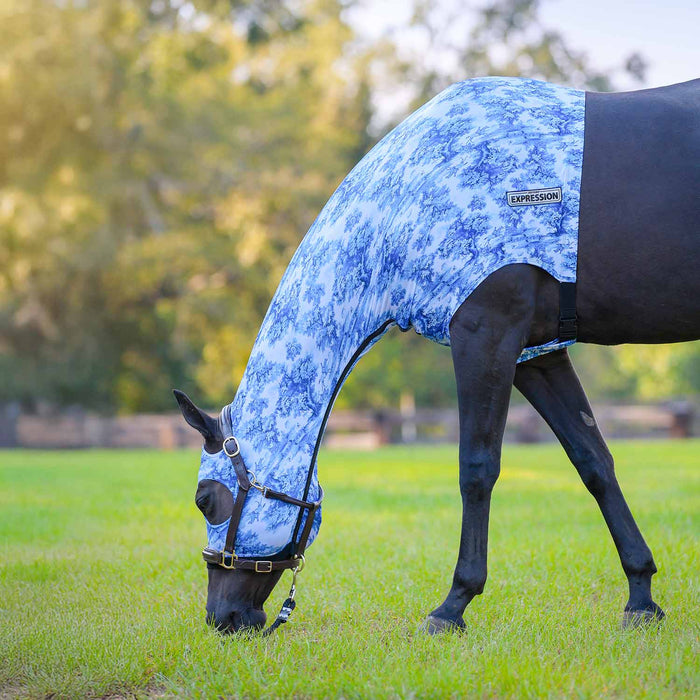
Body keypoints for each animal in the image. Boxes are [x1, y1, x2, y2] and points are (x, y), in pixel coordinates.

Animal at [175, 76, 699, 635]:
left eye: (205, 500)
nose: (223, 618)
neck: (405, 198)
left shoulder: (485, 336)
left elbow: (477, 468)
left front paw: (453, 605)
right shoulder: (537, 355)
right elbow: (593, 462)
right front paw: (641, 596)